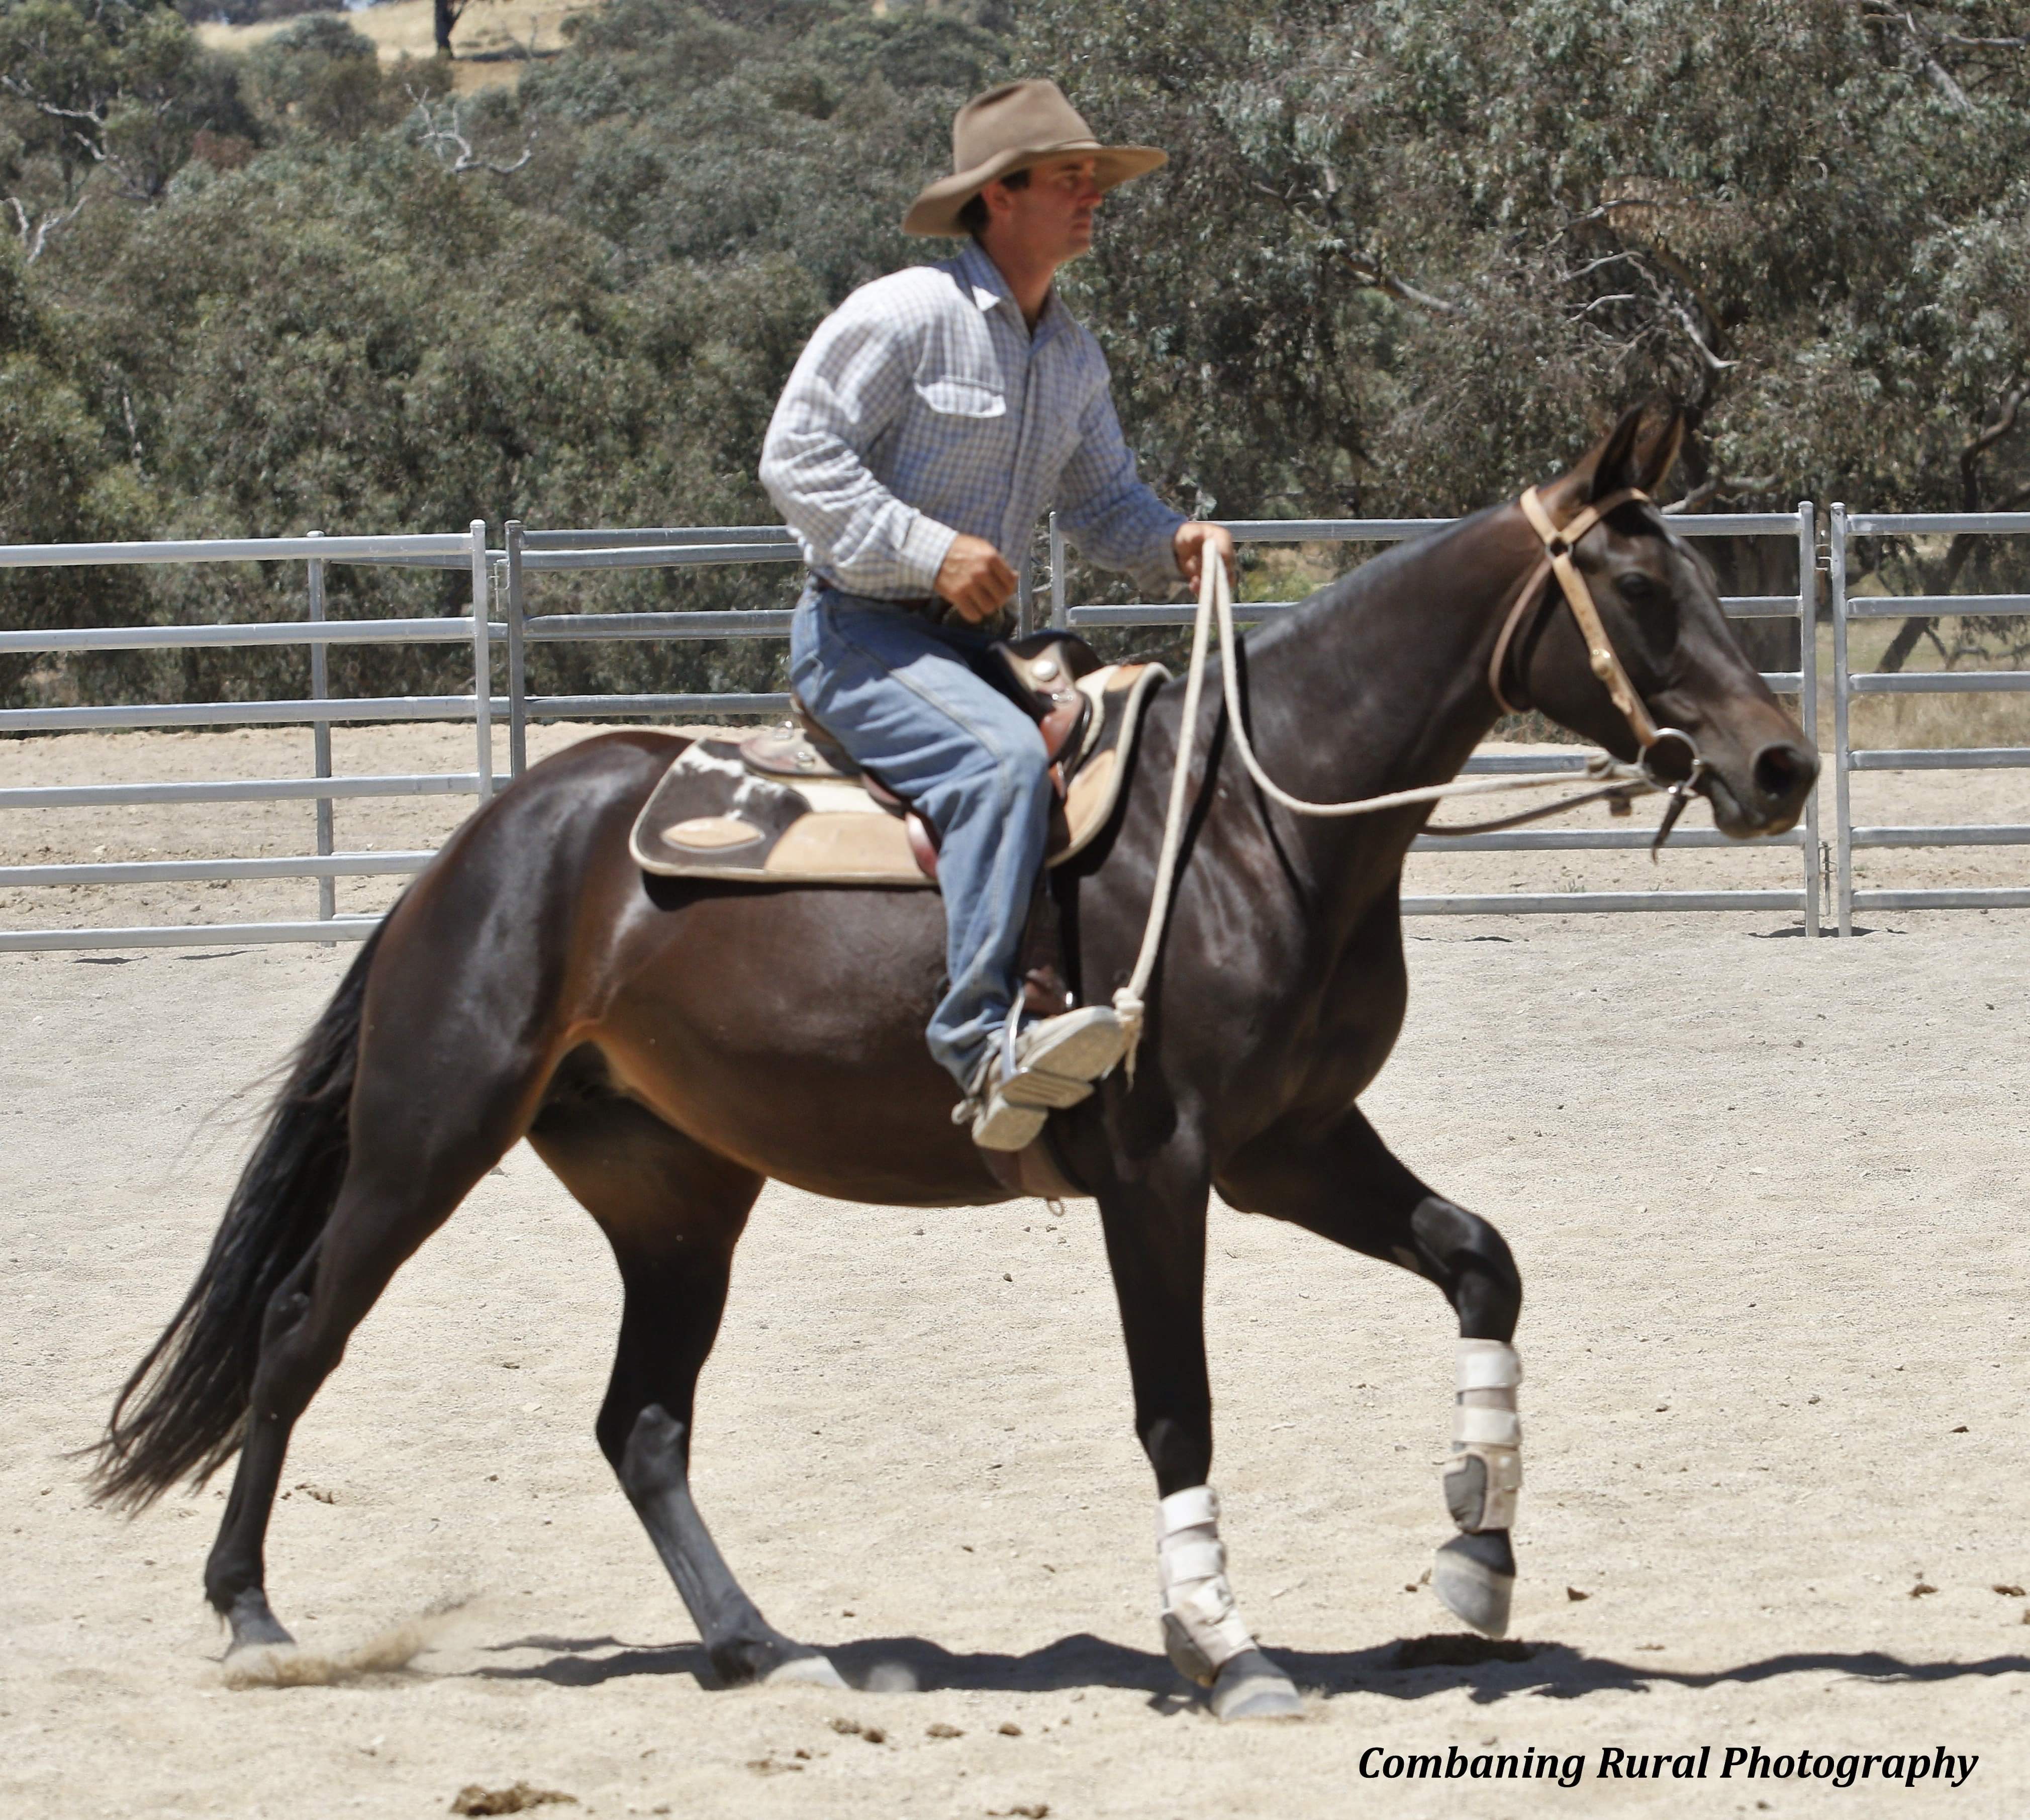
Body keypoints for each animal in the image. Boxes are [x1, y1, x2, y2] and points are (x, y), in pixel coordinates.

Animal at [90, 406, 1816, 1720]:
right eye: (1634, 582)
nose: (1779, 763)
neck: (1248, 822)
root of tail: (479, 847)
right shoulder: (1158, 1163)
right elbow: (1177, 1409)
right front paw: (1225, 1646)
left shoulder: (1293, 1144)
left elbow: (1479, 1262)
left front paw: (1476, 1549)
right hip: (427, 1135)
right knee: (301, 1330)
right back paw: (251, 1613)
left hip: (674, 1196)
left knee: (639, 1423)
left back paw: (761, 1643)